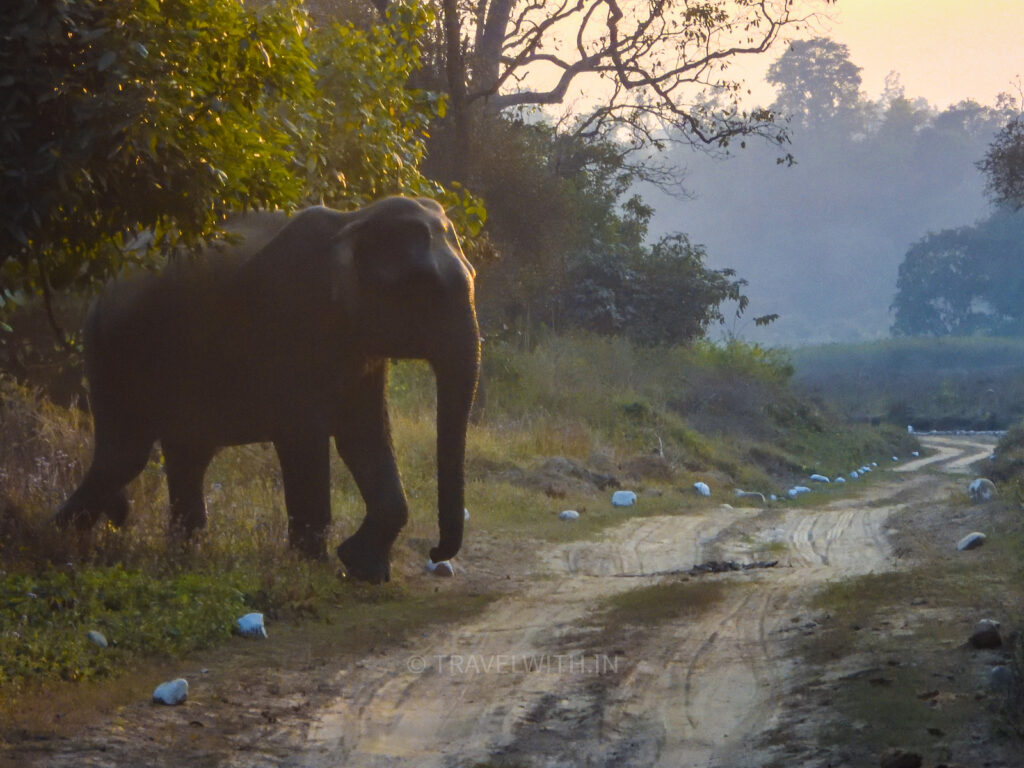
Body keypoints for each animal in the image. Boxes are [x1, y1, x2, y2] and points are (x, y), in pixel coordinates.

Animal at [58, 196, 481, 581]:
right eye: (423, 288)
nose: (435, 553)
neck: (355, 219)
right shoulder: (288, 318)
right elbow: (303, 437)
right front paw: (311, 567)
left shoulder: (361, 344)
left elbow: (364, 434)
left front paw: (363, 569)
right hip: (114, 351)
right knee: (125, 455)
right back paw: (68, 537)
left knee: (185, 453)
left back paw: (179, 552)